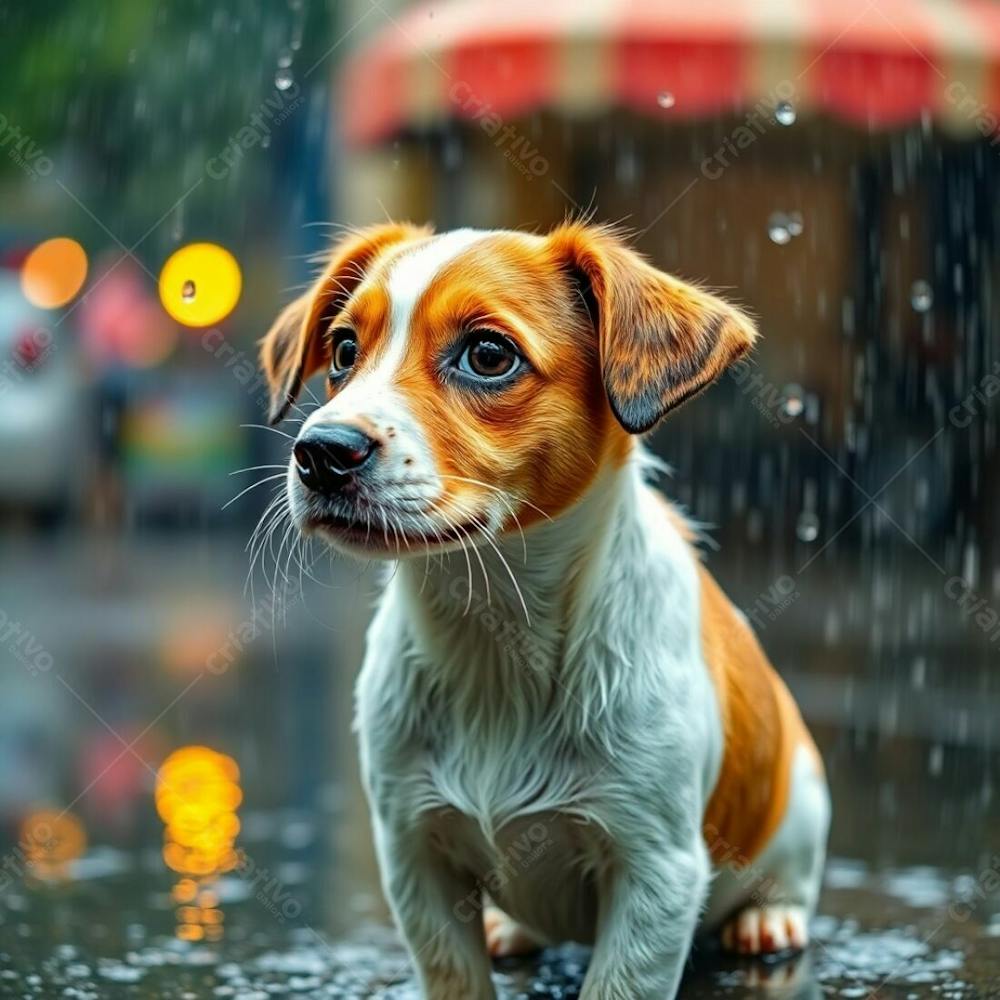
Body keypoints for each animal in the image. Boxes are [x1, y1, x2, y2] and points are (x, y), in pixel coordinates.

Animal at [258, 223, 828, 1000]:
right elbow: (454, 975)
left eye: (488, 356)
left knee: (787, 880)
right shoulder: (412, 853)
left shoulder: (657, 872)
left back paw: (768, 919)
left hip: (802, 799)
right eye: (345, 350)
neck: (496, 638)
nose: (318, 452)